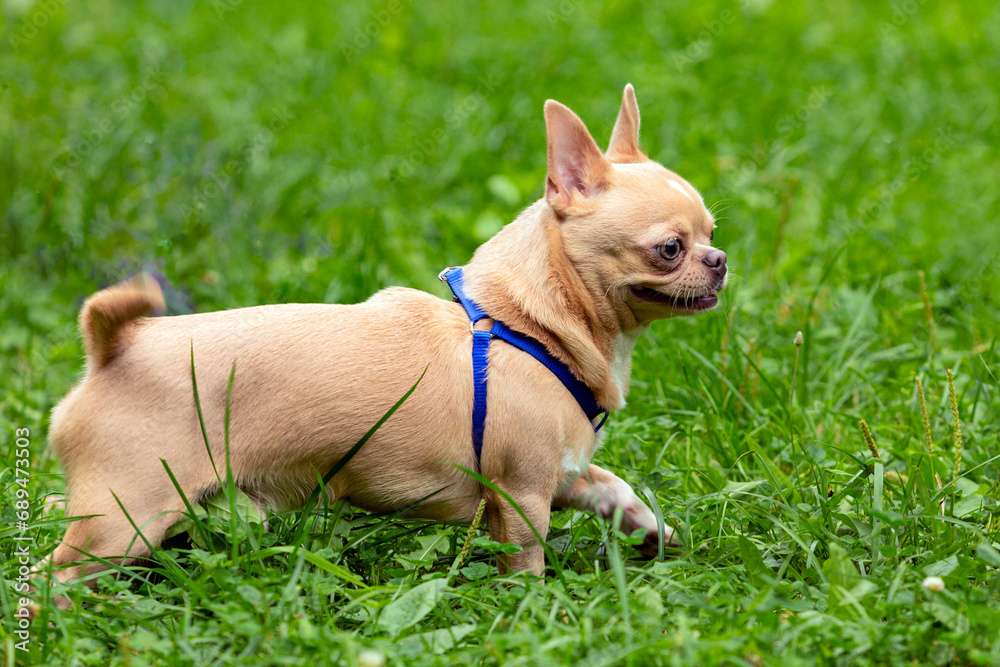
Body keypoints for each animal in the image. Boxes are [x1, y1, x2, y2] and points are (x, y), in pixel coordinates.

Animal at [41, 85, 728, 604]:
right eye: (670, 249)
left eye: (713, 234)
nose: (719, 260)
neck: (526, 325)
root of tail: (111, 345)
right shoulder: (523, 494)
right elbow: (527, 561)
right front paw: (531, 611)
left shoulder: (564, 473)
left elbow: (614, 488)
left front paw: (651, 529)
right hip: (125, 517)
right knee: (55, 579)